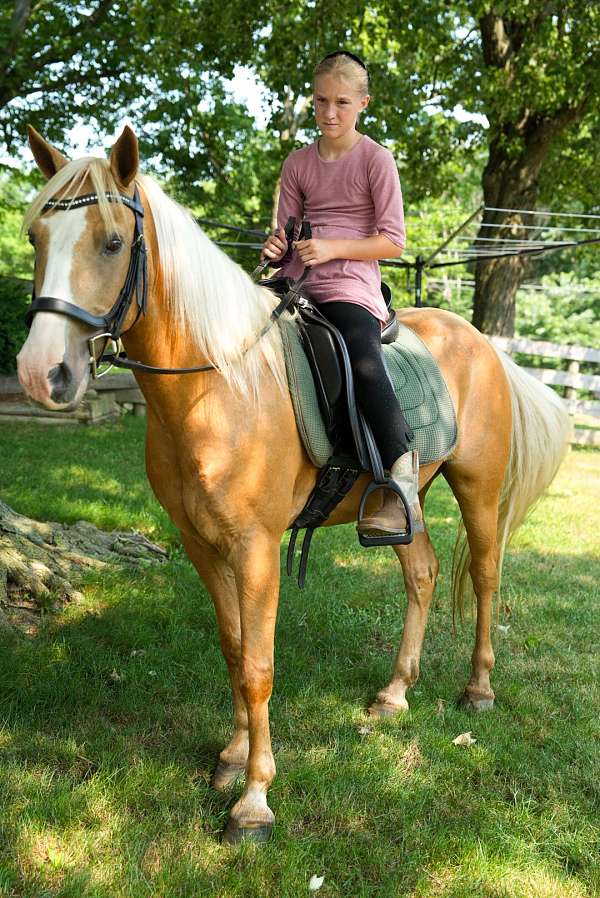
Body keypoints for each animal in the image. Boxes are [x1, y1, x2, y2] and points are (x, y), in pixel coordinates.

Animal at [16, 125, 570, 844]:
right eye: (36, 238)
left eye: (112, 242)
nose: (41, 372)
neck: (219, 384)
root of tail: (483, 344)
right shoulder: (201, 544)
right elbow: (233, 649)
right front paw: (231, 757)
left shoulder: (255, 547)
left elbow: (258, 666)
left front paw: (254, 800)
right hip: (405, 502)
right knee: (420, 574)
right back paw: (394, 694)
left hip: (476, 487)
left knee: (484, 576)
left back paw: (477, 690)